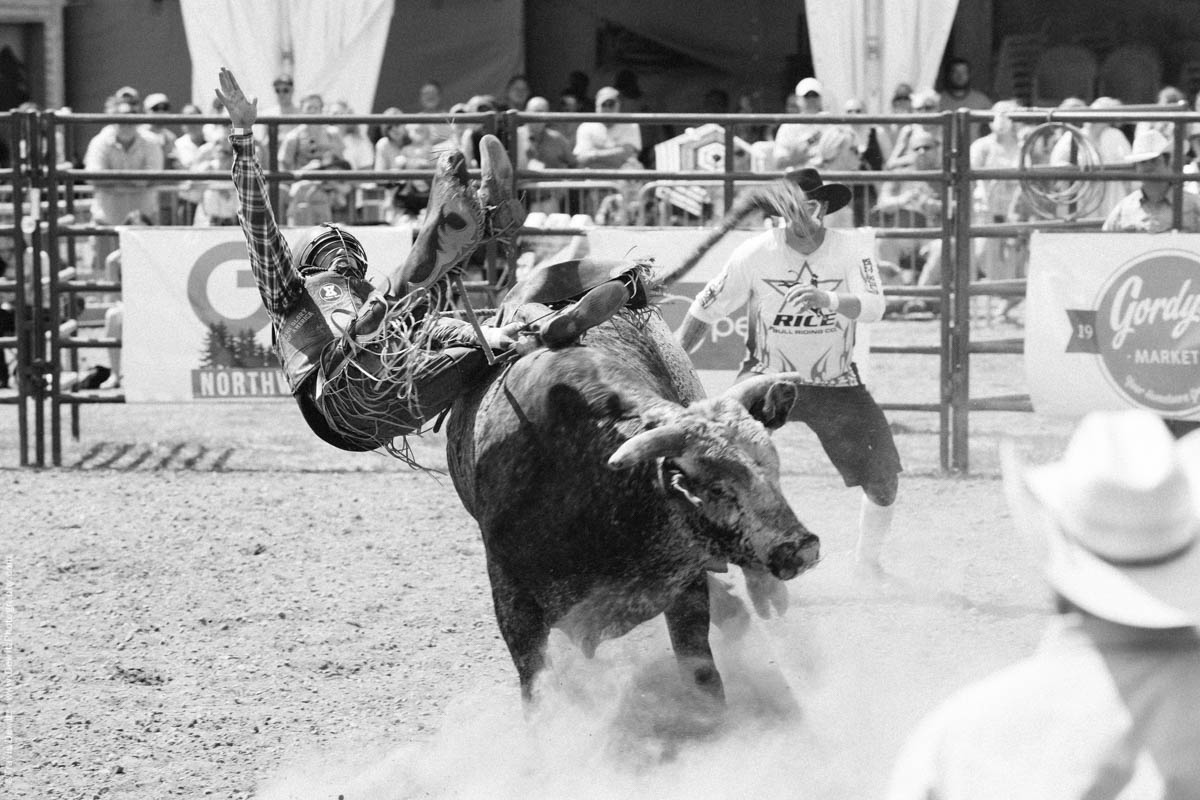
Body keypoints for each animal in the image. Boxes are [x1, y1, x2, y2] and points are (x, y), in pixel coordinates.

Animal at [446, 281, 820, 700]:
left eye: (774, 470)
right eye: (715, 488)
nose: (802, 548)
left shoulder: (683, 584)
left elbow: (702, 674)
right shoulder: (514, 604)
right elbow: (537, 690)